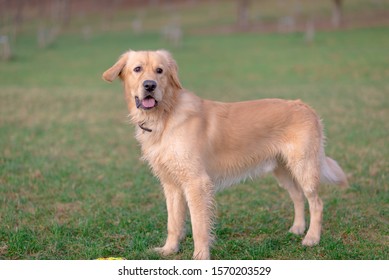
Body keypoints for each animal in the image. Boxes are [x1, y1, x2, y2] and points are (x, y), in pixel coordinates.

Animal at [101, 49, 348, 260]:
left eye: (160, 70)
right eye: (137, 69)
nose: (150, 85)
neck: (165, 116)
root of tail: (304, 106)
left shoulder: (196, 183)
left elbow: (199, 226)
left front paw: (201, 256)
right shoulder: (171, 184)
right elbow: (174, 223)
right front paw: (169, 249)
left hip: (304, 167)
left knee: (316, 202)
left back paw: (312, 238)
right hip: (283, 170)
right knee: (297, 197)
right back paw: (297, 228)